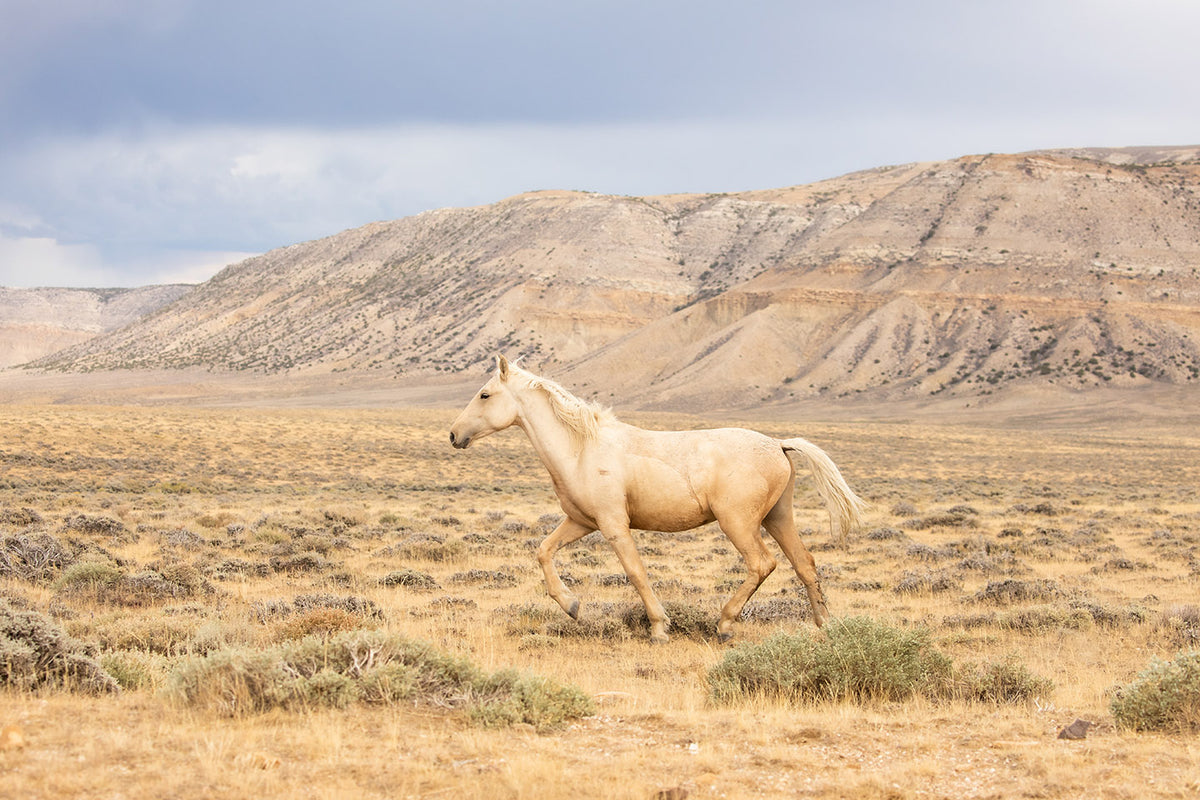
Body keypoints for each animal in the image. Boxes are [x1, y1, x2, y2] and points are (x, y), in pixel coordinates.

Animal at [448, 357, 864, 642]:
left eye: (485, 394)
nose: (454, 435)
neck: (582, 449)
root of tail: (778, 444)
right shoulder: (580, 522)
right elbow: (544, 551)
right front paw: (572, 606)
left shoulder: (614, 526)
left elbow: (636, 572)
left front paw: (660, 627)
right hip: (778, 518)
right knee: (805, 564)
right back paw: (824, 625)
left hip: (739, 523)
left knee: (762, 564)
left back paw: (725, 623)